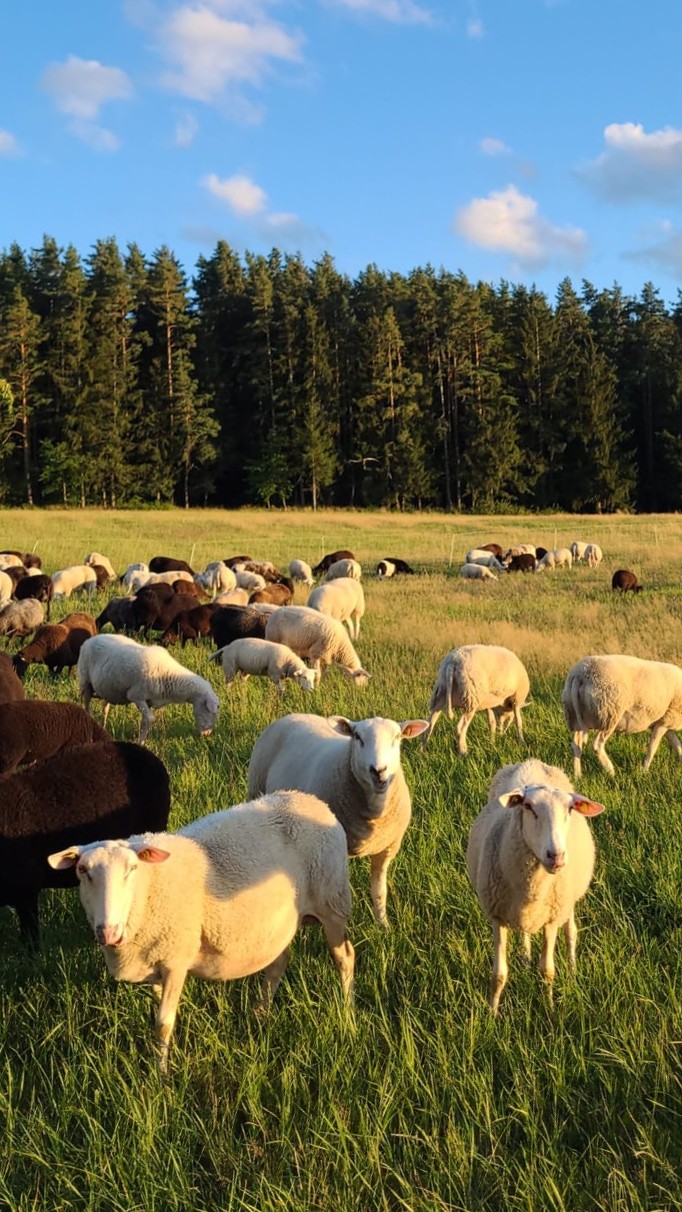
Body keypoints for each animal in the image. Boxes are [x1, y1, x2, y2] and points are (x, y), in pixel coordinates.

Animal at [48, 789, 355, 1071]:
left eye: (132, 868)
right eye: (82, 871)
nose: (108, 932)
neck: (147, 889)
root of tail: (310, 799)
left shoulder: (176, 960)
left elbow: (163, 1024)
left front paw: (161, 1077)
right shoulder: (158, 960)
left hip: (333, 901)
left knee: (345, 958)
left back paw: (347, 1014)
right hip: (281, 923)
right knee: (278, 963)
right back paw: (260, 1015)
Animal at [77, 634, 220, 742]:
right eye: (208, 710)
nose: (206, 734)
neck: (169, 675)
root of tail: (90, 639)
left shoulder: (149, 701)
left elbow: (145, 721)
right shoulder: (136, 695)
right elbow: (149, 719)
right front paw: (140, 742)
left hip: (105, 688)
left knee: (105, 709)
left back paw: (103, 727)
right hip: (85, 682)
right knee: (87, 706)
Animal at [248, 713, 428, 926]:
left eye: (397, 737)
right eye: (358, 737)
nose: (378, 770)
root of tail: (292, 715)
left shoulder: (388, 848)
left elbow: (379, 891)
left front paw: (383, 924)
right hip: (256, 788)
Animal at [466, 758, 604, 1014]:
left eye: (570, 809)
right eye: (528, 807)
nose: (555, 856)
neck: (533, 888)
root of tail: (533, 762)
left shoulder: (552, 918)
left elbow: (547, 971)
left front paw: (549, 1008)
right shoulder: (498, 917)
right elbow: (498, 974)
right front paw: (492, 1013)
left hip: (568, 902)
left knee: (571, 931)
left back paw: (572, 968)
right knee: (525, 934)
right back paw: (525, 956)